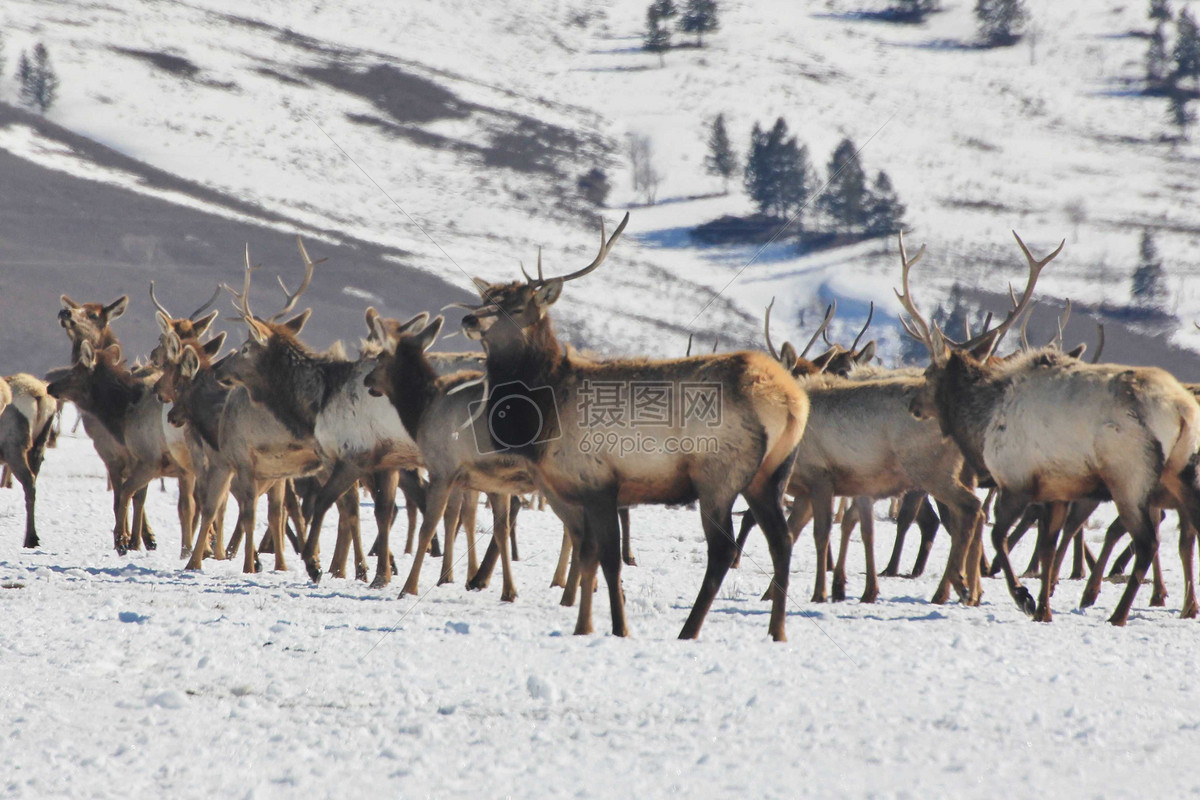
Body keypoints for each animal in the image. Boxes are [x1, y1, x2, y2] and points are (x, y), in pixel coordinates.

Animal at [902, 231, 1200, 623]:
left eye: (928, 373)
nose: (911, 403)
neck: (981, 420)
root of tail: (1182, 410)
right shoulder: (1057, 489)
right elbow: (1045, 549)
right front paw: (1044, 608)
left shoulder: (1016, 480)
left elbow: (999, 536)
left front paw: (1023, 597)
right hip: (1181, 472)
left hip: (1129, 476)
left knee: (1147, 542)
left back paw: (1117, 614)